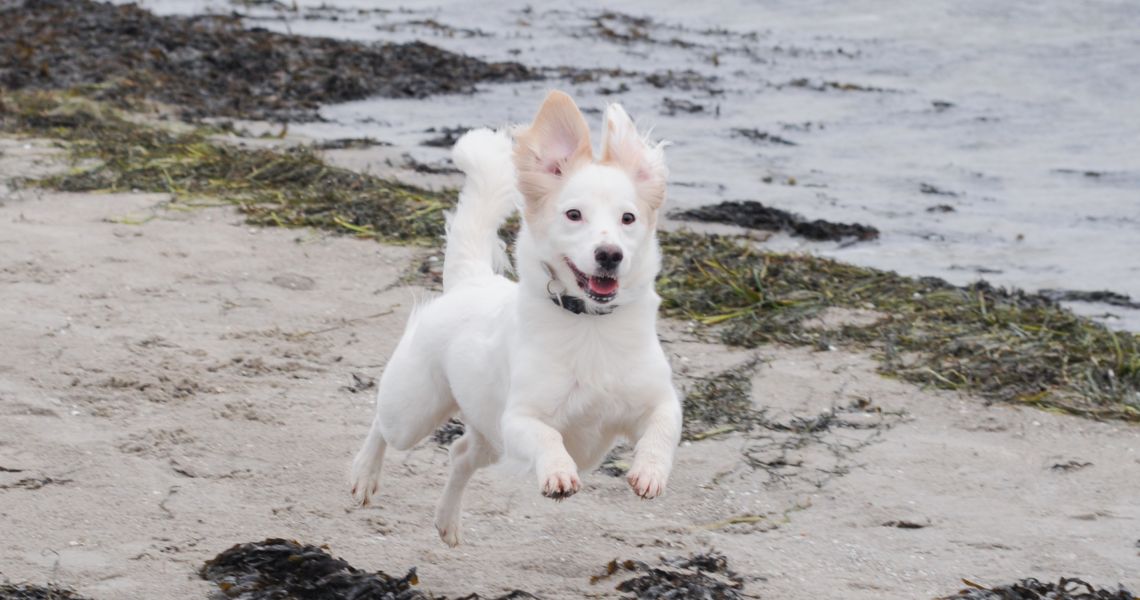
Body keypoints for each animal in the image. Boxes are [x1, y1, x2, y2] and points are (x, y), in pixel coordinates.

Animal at [351, 91, 679, 547]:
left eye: (628, 219)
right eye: (573, 215)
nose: (610, 255)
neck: (590, 324)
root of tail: (471, 281)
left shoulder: (660, 400)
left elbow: (662, 429)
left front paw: (649, 472)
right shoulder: (519, 419)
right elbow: (548, 436)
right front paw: (558, 472)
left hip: (488, 436)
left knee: (459, 454)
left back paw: (447, 521)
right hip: (416, 411)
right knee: (382, 423)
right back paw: (365, 475)